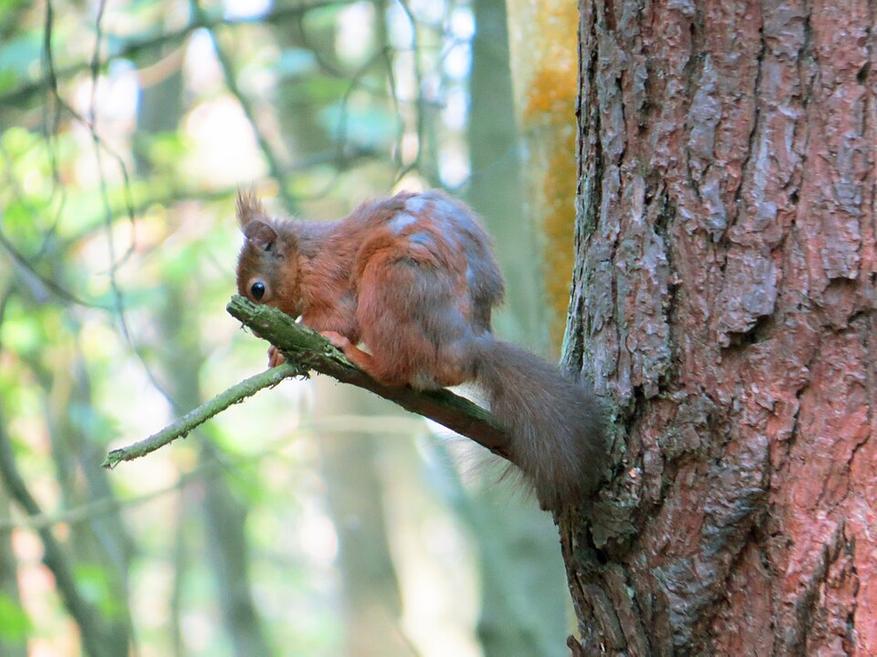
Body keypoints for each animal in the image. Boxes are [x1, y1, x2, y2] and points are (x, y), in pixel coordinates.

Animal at [235, 189, 606, 509]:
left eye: (258, 289)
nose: (250, 330)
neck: (305, 254)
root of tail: (467, 346)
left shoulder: (330, 279)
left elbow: (338, 317)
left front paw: (282, 348)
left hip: (389, 278)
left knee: (394, 371)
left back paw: (362, 358)